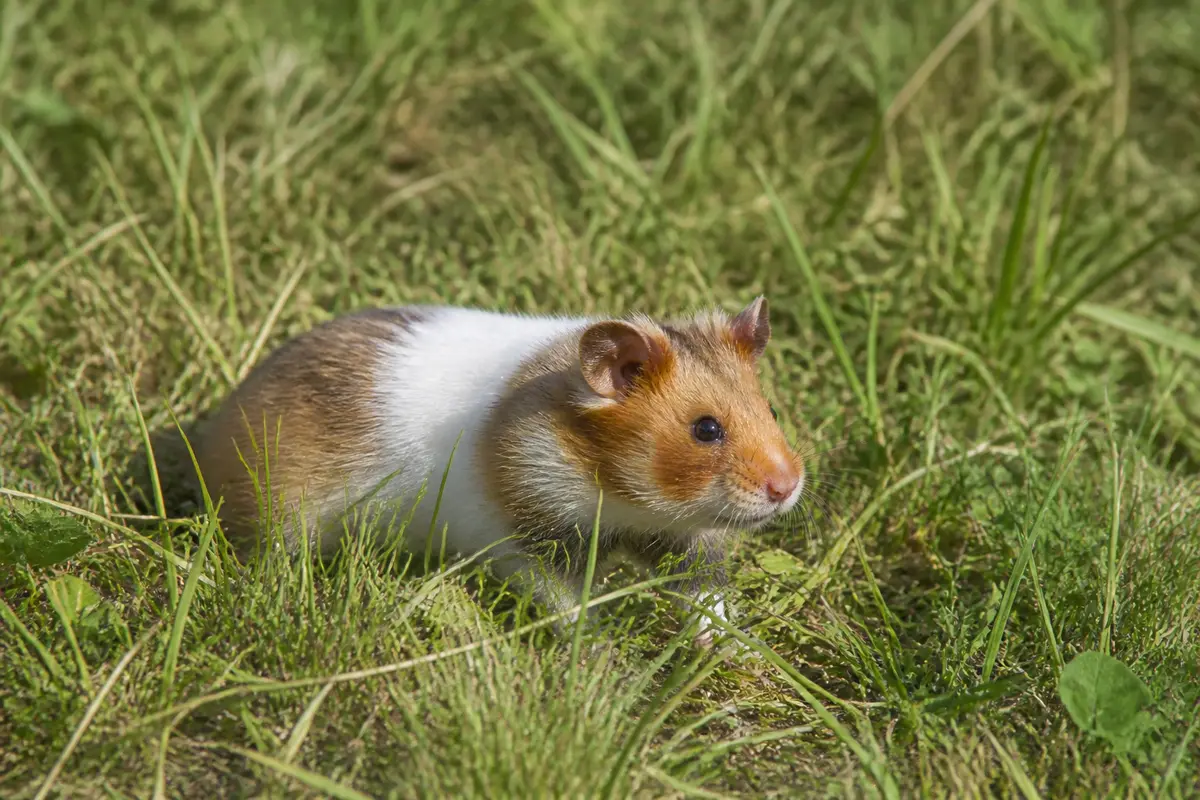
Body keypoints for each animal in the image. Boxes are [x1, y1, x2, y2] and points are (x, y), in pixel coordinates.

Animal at [182, 297, 805, 644]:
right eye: (706, 429)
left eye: (771, 411)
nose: (787, 486)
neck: (617, 490)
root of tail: (211, 432)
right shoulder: (528, 539)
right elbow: (567, 604)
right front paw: (601, 654)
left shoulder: (684, 539)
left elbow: (704, 598)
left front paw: (727, 651)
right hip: (281, 515)